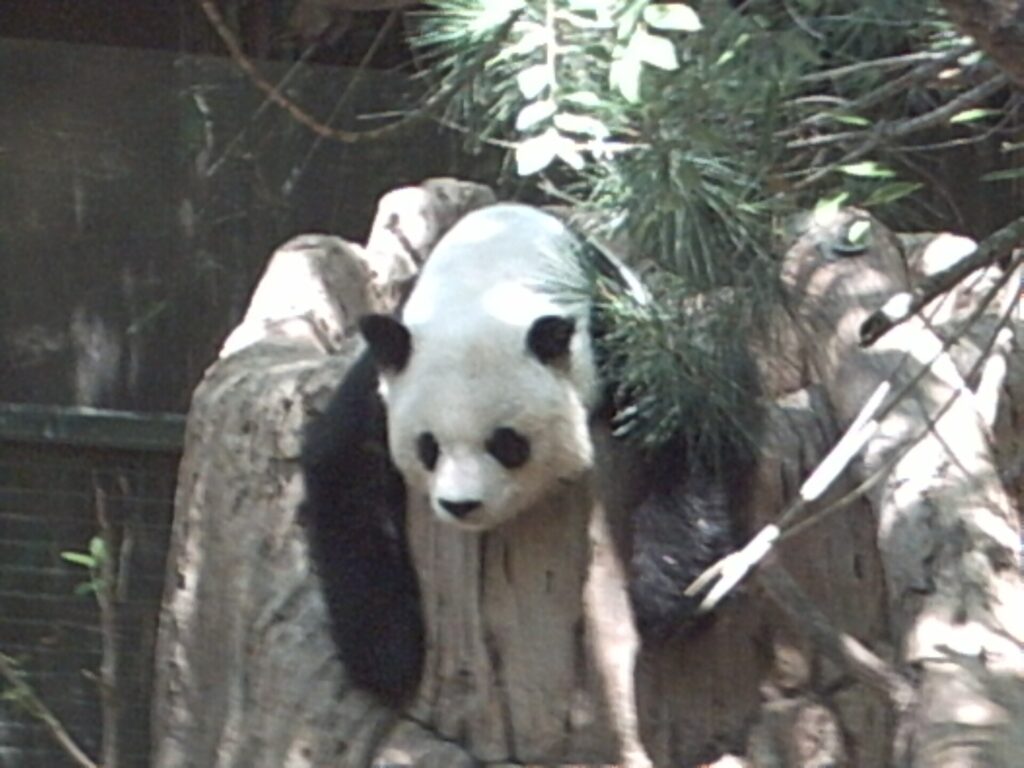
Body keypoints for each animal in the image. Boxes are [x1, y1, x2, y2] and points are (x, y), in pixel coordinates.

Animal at [300, 203, 745, 716]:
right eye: (428, 446)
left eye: (507, 443)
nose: (461, 505)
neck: (487, 278)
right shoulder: (386, 378)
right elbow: (344, 471)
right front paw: (386, 653)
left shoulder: (615, 339)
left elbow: (693, 416)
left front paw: (668, 595)